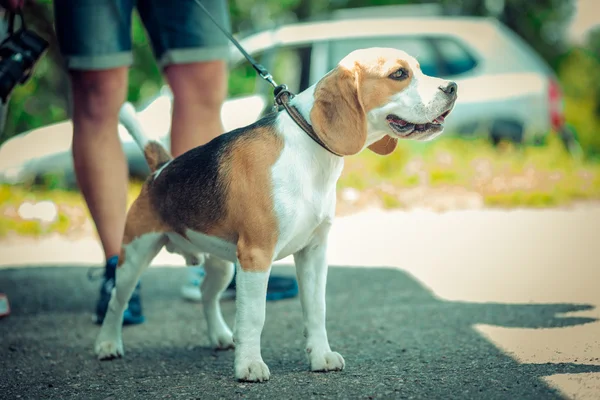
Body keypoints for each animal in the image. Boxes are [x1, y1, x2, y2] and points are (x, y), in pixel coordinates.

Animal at [96, 46, 458, 382]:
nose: (453, 87)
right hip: (135, 256)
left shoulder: (314, 253)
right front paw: (249, 366)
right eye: (399, 74)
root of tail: (162, 169)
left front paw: (320, 357)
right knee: (117, 300)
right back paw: (108, 344)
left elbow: (316, 310)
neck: (309, 150)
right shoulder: (256, 255)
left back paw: (220, 336)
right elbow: (254, 316)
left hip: (222, 266)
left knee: (207, 296)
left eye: (418, 69)